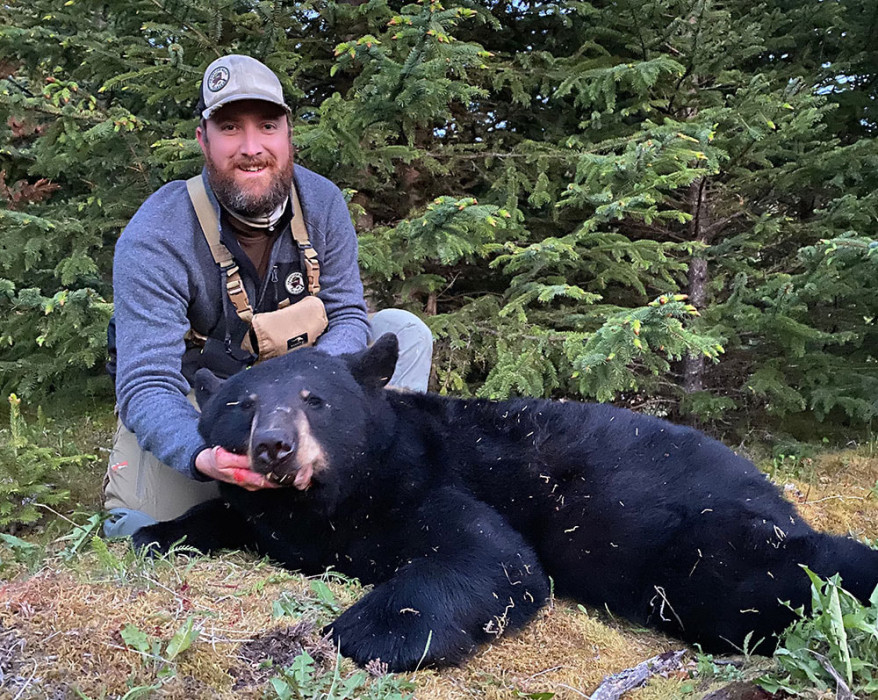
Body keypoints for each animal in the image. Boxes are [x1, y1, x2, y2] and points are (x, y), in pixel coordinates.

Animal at [131, 334, 878, 672]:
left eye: (316, 399)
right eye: (242, 405)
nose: (275, 447)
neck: (328, 499)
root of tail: (763, 482)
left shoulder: (421, 482)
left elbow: (490, 557)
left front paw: (363, 630)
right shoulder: (272, 513)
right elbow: (220, 513)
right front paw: (153, 533)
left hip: (692, 540)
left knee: (777, 577)